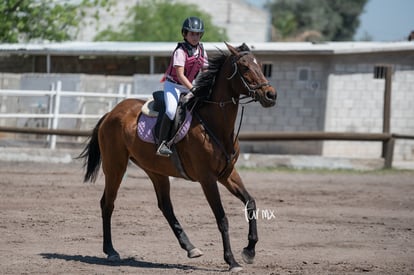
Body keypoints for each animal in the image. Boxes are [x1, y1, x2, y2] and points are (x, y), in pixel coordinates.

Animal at [79, 42, 276, 272]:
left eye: (260, 65)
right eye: (245, 67)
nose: (271, 95)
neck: (215, 125)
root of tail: (110, 113)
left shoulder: (227, 174)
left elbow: (250, 203)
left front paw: (249, 250)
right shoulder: (207, 178)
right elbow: (221, 217)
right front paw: (232, 261)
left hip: (155, 171)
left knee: (165, 206)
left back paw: (190, 247)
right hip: (115, 167)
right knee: (107, 203)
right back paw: (110, 251)